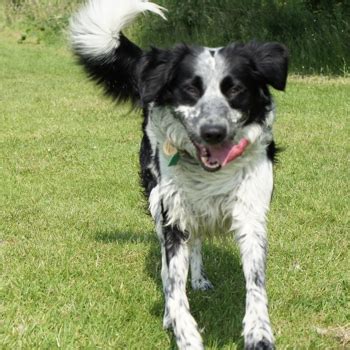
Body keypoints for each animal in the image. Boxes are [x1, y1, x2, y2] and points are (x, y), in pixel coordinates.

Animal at [70, 1, 288, 348]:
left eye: (235, 89)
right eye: (189, 89)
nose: (213, 132)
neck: (209, 172)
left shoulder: (250, 212)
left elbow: (255, 282)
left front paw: (258, 331)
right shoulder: (172, 214)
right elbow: (173, 284)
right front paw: (183, 331)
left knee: (196, 245)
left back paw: (199, 279)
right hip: (157, 202)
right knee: (167, 265)